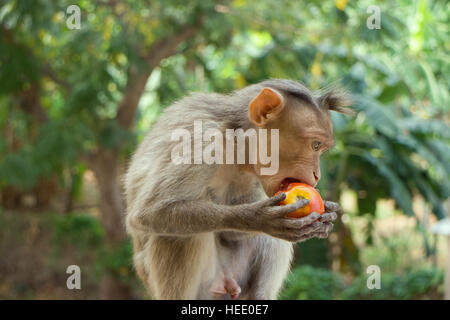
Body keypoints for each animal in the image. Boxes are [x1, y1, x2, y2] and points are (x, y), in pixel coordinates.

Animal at [124, 79, 352, 298]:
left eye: (321, 148)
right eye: (315, 145)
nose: (317, 174)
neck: (234, 140)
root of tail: (225, 282)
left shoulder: (250, 174)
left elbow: (233, 233)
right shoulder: (202, 141)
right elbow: (149, 211)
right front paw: (259, 217)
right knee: (178, 234)